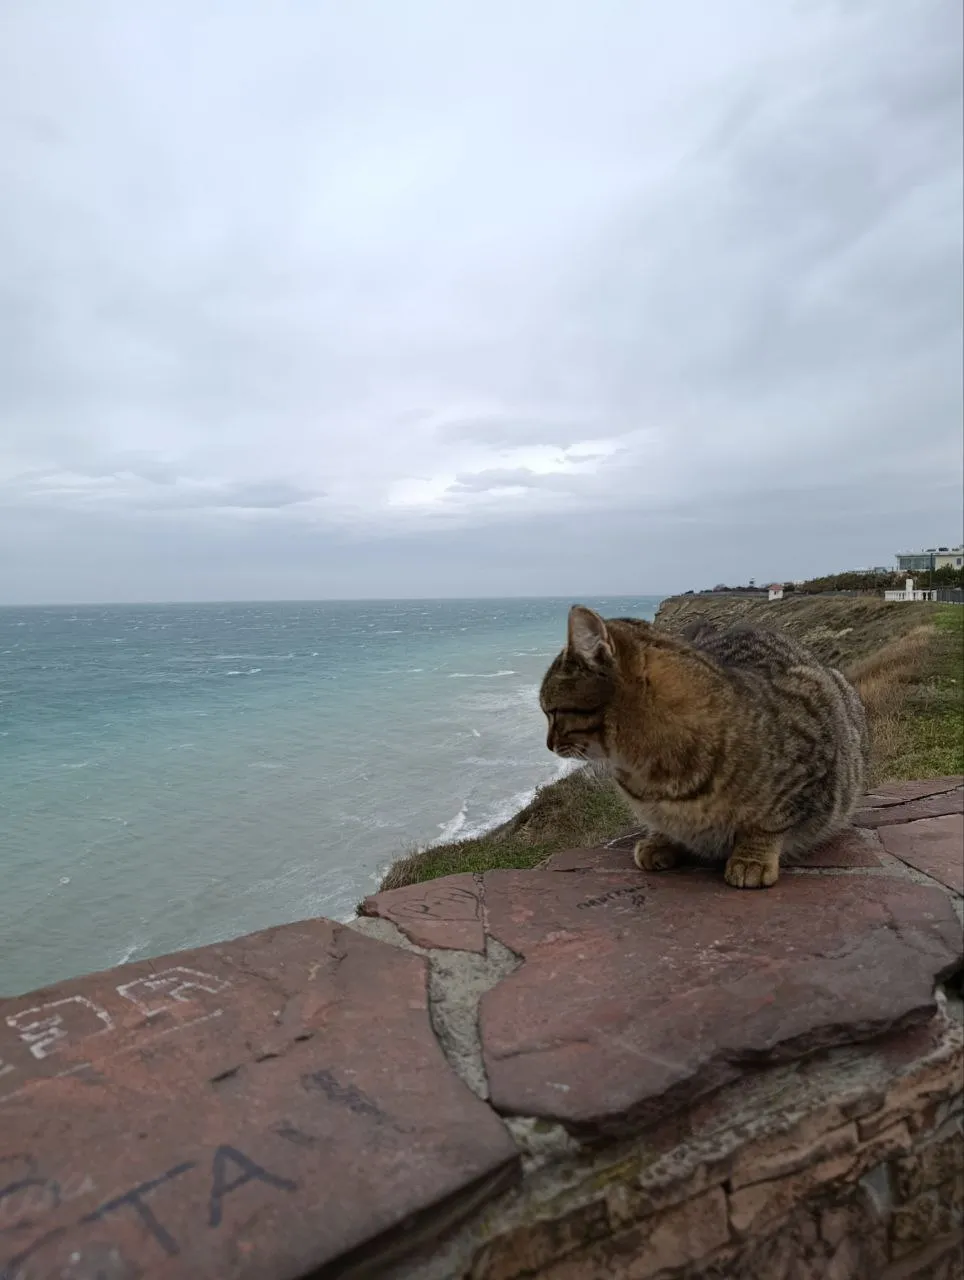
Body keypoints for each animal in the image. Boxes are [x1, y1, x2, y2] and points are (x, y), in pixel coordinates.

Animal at [539, 606, 869, 889]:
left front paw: (752, 857)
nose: (548, 744)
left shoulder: (810, 759)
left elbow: (767, 825)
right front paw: (661, 839)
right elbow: (665, 825)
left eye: (552, 712)